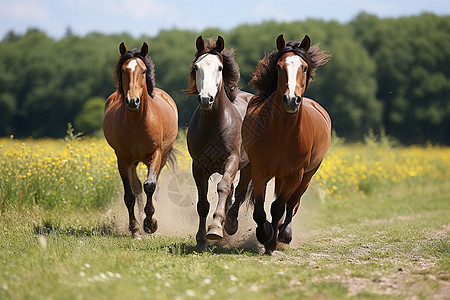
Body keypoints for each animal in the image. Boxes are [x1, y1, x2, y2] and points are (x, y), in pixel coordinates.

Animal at [103, 41, 178, 237]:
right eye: (123, 70)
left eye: (143, 71)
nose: (132, 101)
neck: (137, 122)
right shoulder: (123, 159)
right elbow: (130, 194)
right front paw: (135, 228)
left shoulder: (156, 153)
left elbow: (150, 185)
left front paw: (150, 224)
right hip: (133, 162)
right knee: (136, 187)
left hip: (162, 156)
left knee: (153, 184)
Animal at [186, 35, 255, 251]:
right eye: (196, 67)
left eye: (220, 68)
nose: (205, 99)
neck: (213, 123)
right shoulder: (198, 166)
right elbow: (202, 203)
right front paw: (201, 239)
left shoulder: (231, 159)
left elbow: (223, 187)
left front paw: (216, 227)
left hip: (248, 166)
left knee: (239, 192)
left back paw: (231, 225)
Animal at [241, 34, 332, 254]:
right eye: (279, 66)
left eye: (304, 68)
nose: (291, 100)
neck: (283, 133)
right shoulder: (260, 171)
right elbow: (259, 210)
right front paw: (264, 233)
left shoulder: (294, 175)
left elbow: (279, 207)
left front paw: (272, 241)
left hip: (308, 175)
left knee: (293, 203)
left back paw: (284, 234)